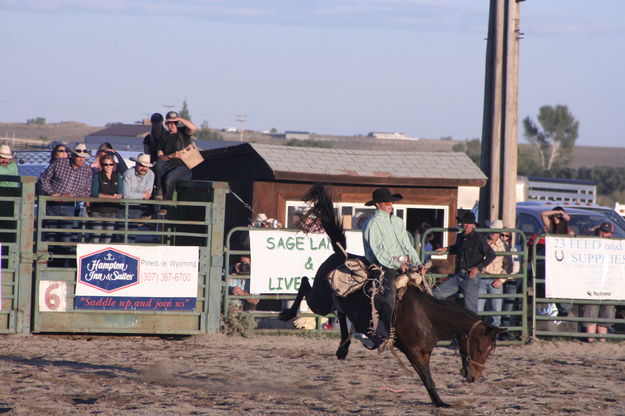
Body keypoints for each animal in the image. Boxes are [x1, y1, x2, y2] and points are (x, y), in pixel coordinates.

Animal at [280, 184, 504, 408]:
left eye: (490, 350)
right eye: (480, 347)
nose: (474, 377)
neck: (427, 317)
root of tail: (340, 254)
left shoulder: (426, 351)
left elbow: (427, 377)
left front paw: (438, 401)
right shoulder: (412, 351)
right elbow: (427, 377)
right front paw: (440, 402)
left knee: (341, 313)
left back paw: (342, 349)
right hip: (321, 300)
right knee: (304, 283)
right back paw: (287, 314)